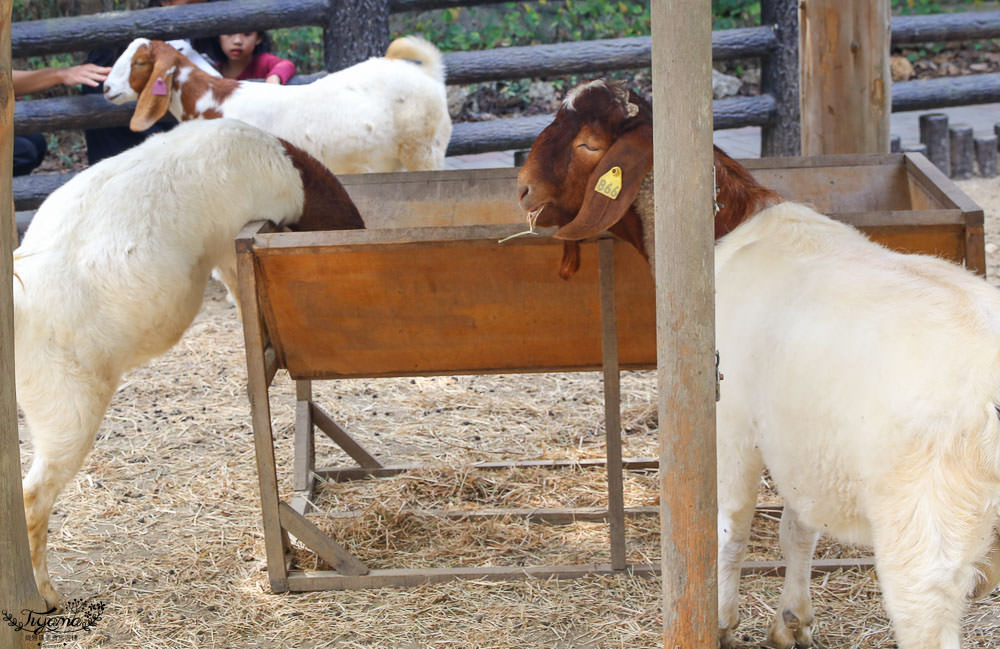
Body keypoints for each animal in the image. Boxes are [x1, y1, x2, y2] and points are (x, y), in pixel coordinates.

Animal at [520, 79, 1000, 648]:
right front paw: (792, 621)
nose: (523, 189)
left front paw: (721, 620)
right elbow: (798, 531)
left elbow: (729, 529)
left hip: (925, 525)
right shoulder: (801, 445)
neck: (723, 235)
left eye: (588, 146)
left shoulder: (729, 421)